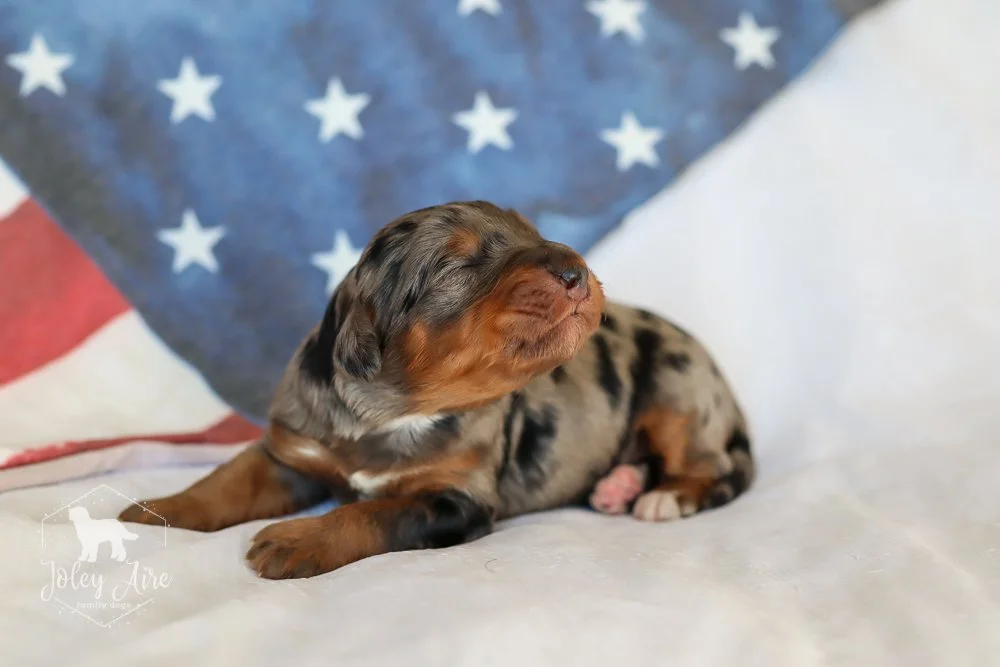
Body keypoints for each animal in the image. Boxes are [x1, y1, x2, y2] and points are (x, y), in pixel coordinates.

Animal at [119, 201, 753, 579]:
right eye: (458, 266)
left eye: (533, 234)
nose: (575, 269)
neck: (391, 410)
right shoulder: (291, 452)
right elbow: (225, 481)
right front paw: (154, 513)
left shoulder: (456, 497)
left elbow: (375, 512)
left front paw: (296, 540)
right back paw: (618, 486)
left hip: (677, 394)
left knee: (713, 470)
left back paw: (661, 497)